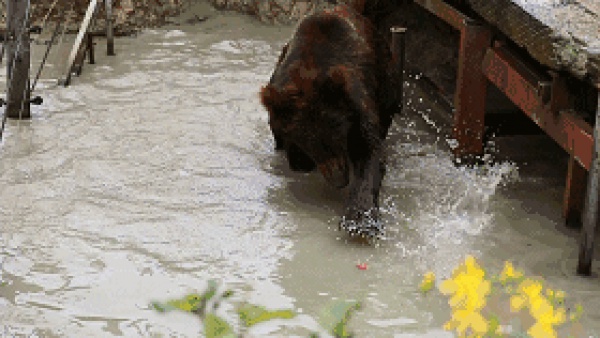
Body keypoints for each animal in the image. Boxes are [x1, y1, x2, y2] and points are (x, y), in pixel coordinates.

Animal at [260, 1, 400, 238]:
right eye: (309, 143)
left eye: (338, 136)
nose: (340, 179)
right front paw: (300, 159)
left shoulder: (357, 103)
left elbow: (370, 152)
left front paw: (359, 220)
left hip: (385, 75)